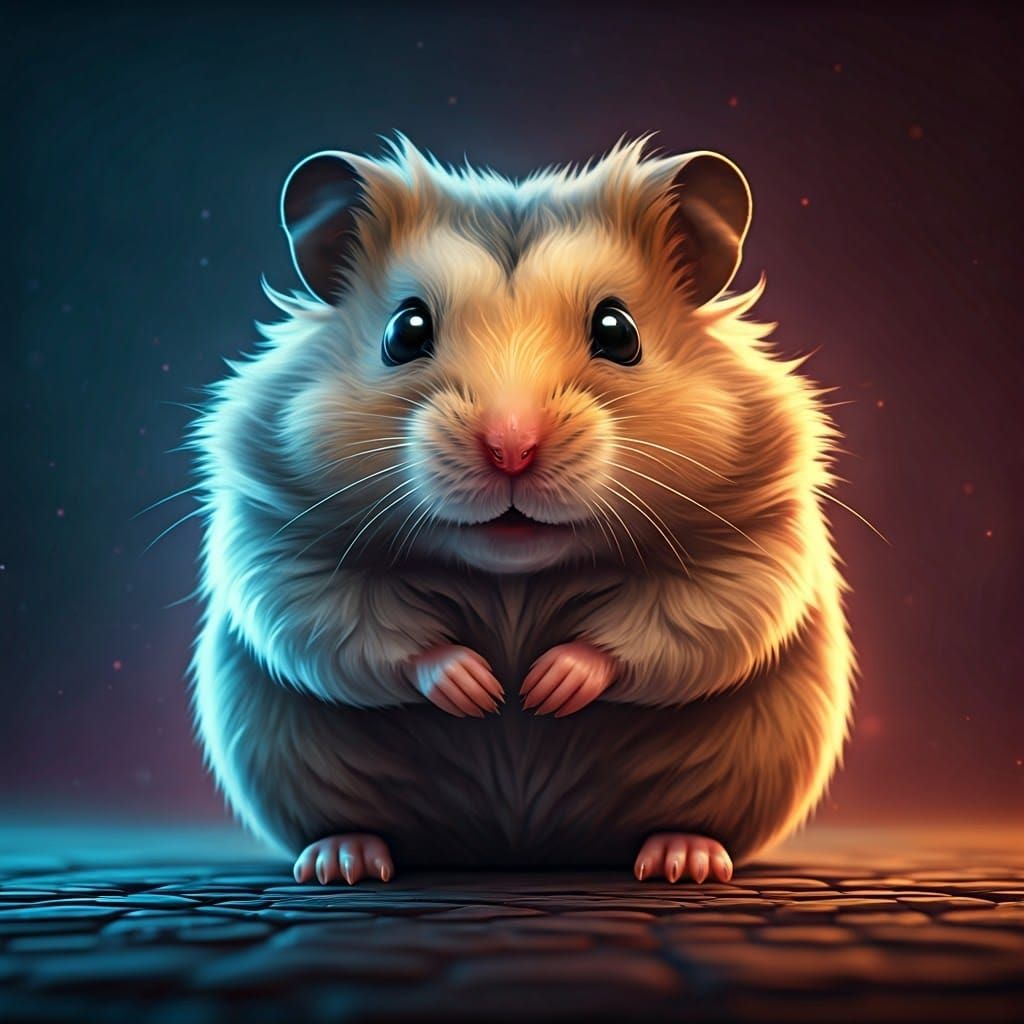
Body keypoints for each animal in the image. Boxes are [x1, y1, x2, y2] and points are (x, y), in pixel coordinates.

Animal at [190, 134, 854, 886]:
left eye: (618, 330)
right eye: (405, 330)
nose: (511, 449)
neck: (513, 575)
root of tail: (519, 850)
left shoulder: (756, 543)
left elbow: (679, 620)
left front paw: (543, 690)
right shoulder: (274, 537)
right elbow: (351, 624)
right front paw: (480, 691)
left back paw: (683, 860)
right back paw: (344, 861)